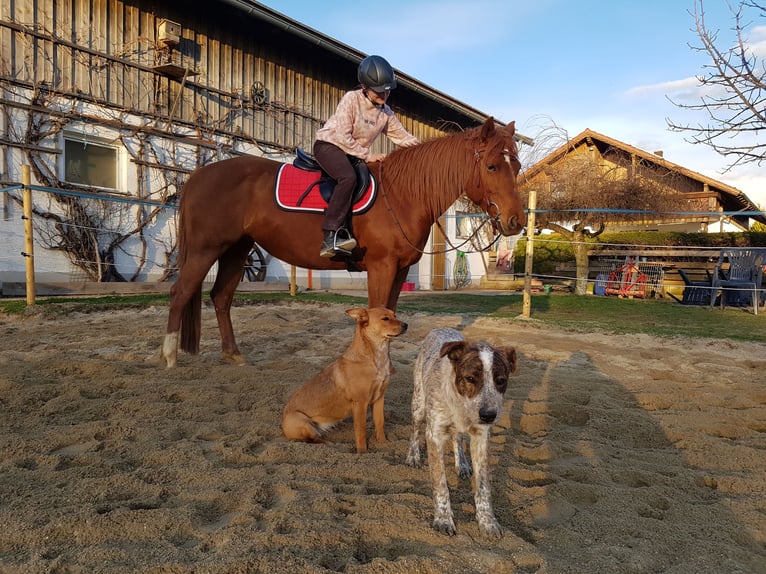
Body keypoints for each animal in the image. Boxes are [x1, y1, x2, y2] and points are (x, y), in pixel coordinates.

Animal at [159, 117, 524, 368]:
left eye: (517, 165)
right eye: (492, 166)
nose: (515, 221)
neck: (401, 195)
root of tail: (199, 175)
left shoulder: (399, 270)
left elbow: (390, 314)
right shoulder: (381, 267)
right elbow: (376, 314)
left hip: (237, 250)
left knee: (220, 298)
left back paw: (233, 355)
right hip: (206, 249)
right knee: (181, 293)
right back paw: (169, 356)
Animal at [280, 308, 408, 452]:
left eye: (395, 315)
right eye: (385, 319)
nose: (406, 325)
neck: (376, 357)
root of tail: (282, 424)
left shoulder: (379, 399)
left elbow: (380, 423)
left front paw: (384, 443)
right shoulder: (360, 402)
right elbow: (361, 430)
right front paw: (362, 452)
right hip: (303, 422)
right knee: (313, 439)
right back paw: (333, 444)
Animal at [404, 330, 520, 536]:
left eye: (501, 381)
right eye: (470, 378)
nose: (488, 415)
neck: (461, 404)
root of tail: (440, 329)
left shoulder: (481, 438)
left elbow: (483, 486)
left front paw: (487, 522)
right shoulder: (434, 436)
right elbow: (440, 483)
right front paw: (443, 519)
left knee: (457, 438)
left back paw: (463, 464)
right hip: (418, 404)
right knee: (415, 430)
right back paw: (413, 456)